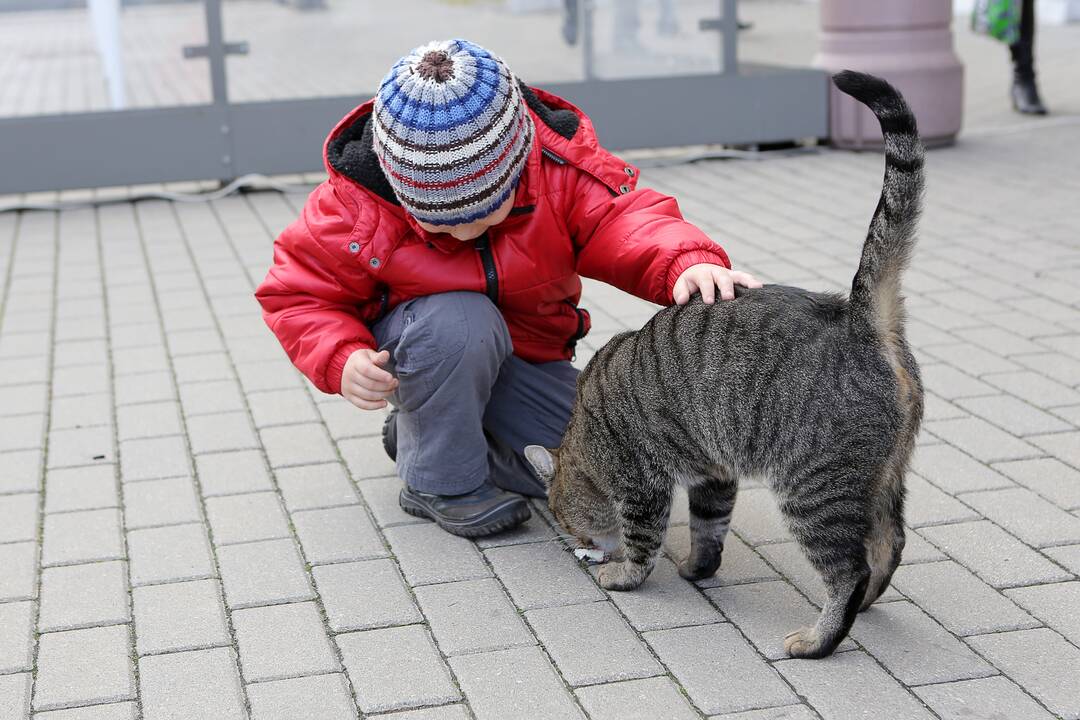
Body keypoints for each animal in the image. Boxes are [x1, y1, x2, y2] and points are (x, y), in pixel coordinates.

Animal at [527, 71, 924, 660]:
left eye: (568, 522)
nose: (579, 546)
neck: (584, 433)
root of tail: (859, 317)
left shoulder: (641, 482)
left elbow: (643, 544)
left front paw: (623, 574)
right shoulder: (713, 472)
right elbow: (708, 531)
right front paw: (697, 568)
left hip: (813, 489)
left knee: (847, 570)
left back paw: (820, 637)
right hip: (882, 478)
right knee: (889, 542)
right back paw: (868, 603)